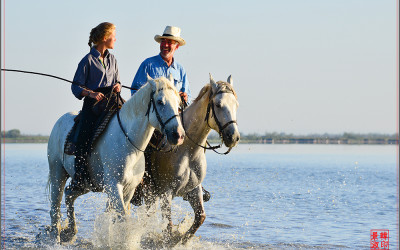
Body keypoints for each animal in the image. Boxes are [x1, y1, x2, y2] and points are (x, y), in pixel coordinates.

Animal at [47, 75, 184, 243]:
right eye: (160, 102)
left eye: (178, 103)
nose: (178, 135)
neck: (128, 143)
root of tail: (59, 122)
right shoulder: (114, 186)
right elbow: (123, 218)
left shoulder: (129, 189)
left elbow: (116, 218)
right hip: (57, 173)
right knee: (55, 207)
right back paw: (55, 239)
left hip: (85, 183)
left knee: (69, 195)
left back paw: (71, 232)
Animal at [141, 74, 239, 244]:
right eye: (218, 104)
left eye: (236, 105)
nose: (233, 137)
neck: (187, 150)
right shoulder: (166, 193)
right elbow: (168, 227)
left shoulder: (194, 190)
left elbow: (200, 217)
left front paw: (182, 239)